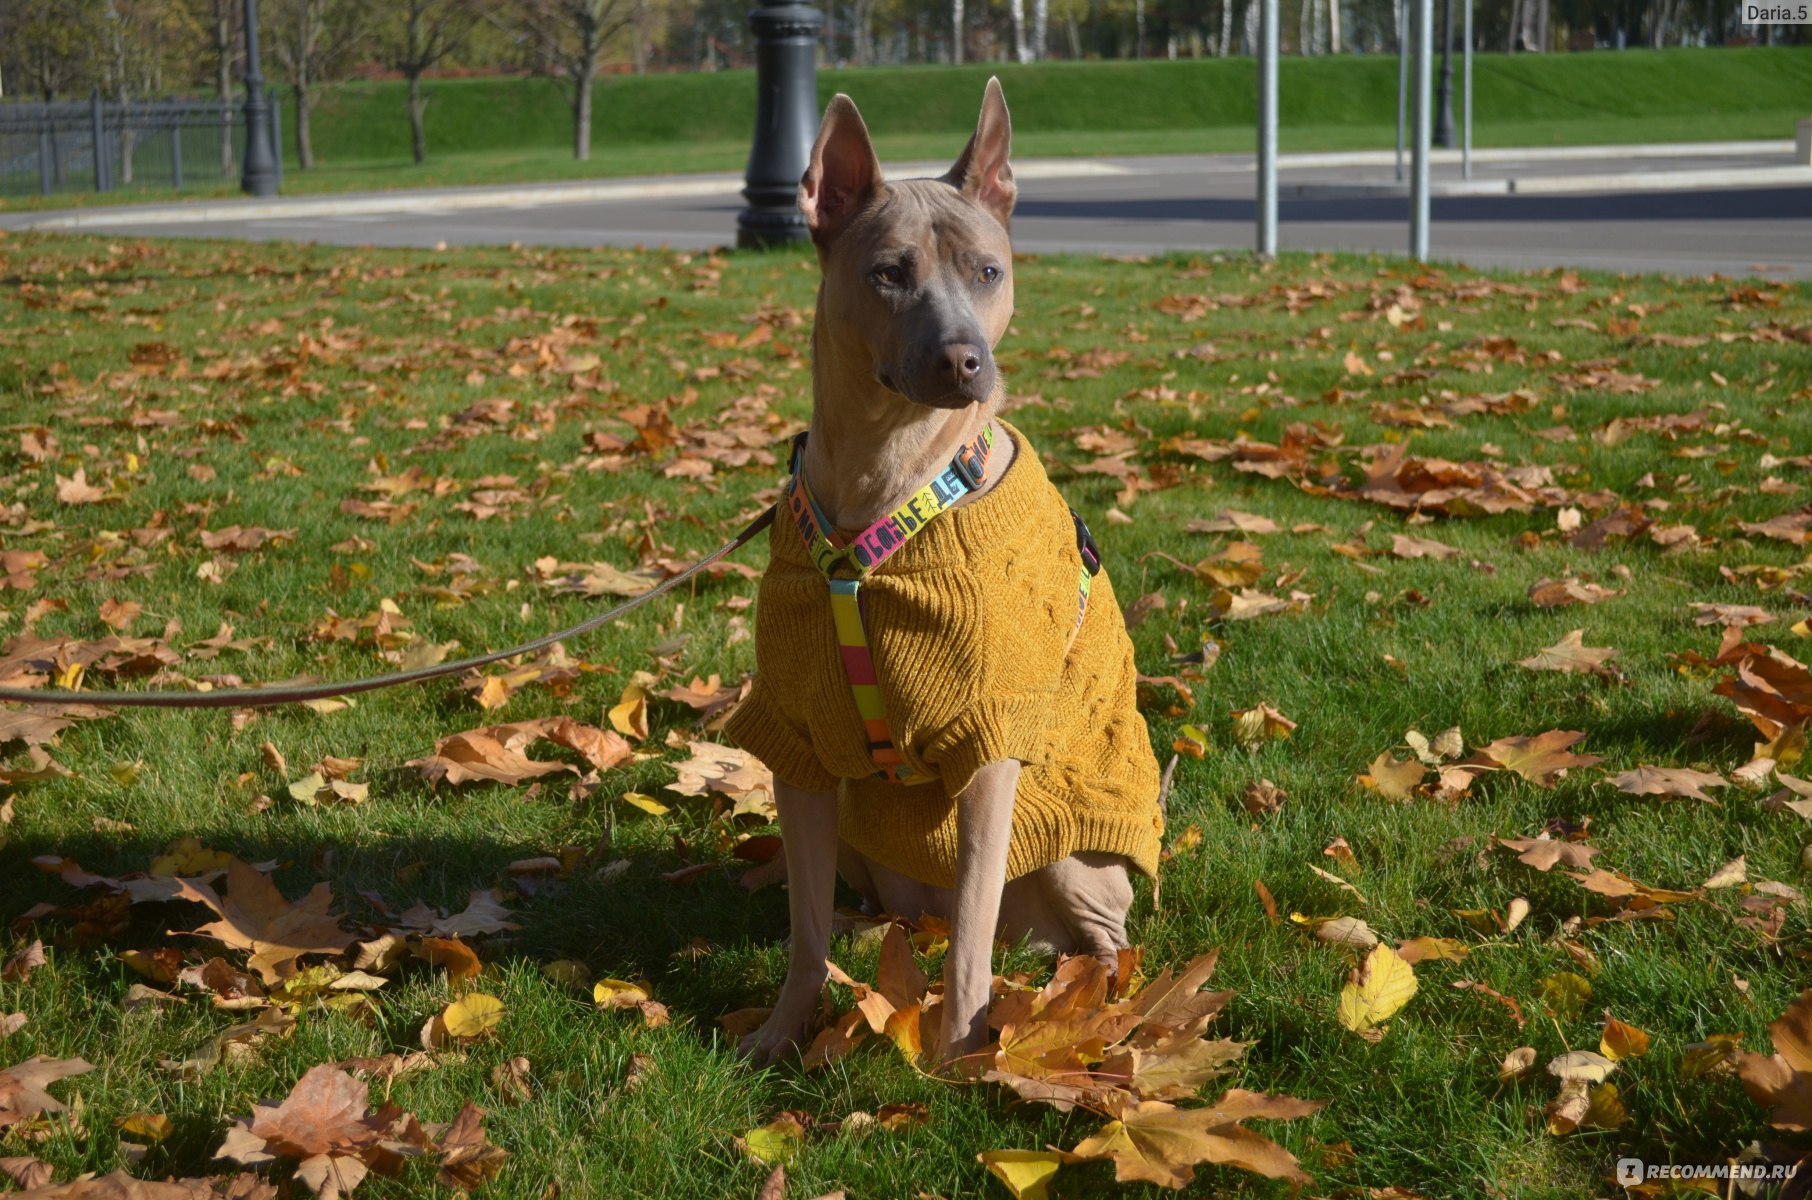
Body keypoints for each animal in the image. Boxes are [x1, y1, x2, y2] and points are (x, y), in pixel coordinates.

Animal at [721, 79, 1159, 1065]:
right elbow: (802, 933)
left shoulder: (989, 744)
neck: (885, 489)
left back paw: (1080, 997)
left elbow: (968, 938)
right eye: (889, 272)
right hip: (859, 834)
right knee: (870, 913)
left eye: (989, 271)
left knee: (1071, 936)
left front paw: (959, 1051)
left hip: (1071, 854)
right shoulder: (800, 749)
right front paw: (783, 1029)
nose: (967, 360)